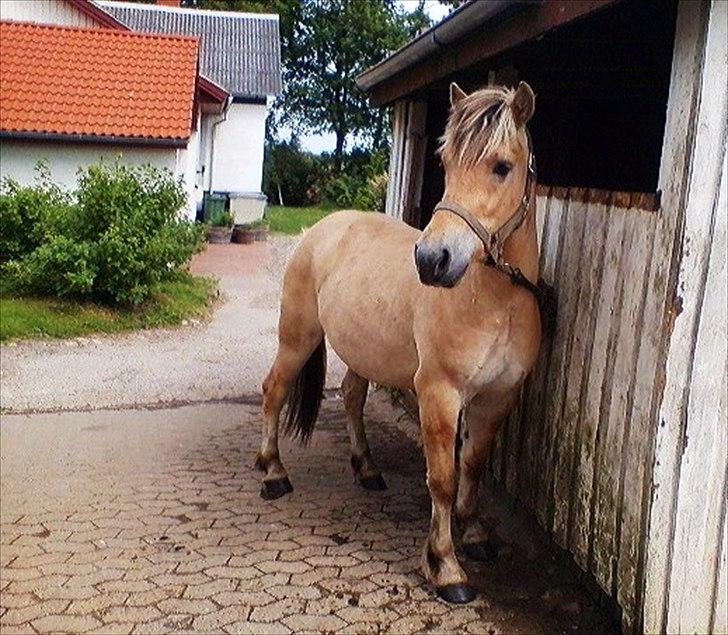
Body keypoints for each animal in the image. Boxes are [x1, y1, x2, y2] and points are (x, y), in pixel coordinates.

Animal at [256, 82, 540, 604]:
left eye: (502, 167)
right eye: (445, 162)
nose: (432, 260)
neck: (494, 301)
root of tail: (319, 230)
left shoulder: (498, 397)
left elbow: (473, 466)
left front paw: (475, 534)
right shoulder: (440, 394)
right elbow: (443, 479)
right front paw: (445, 566)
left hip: (362, 350)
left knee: (351, 397)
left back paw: (366, 469)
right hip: (298, 337)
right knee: (274, 391)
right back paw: (273, 473)